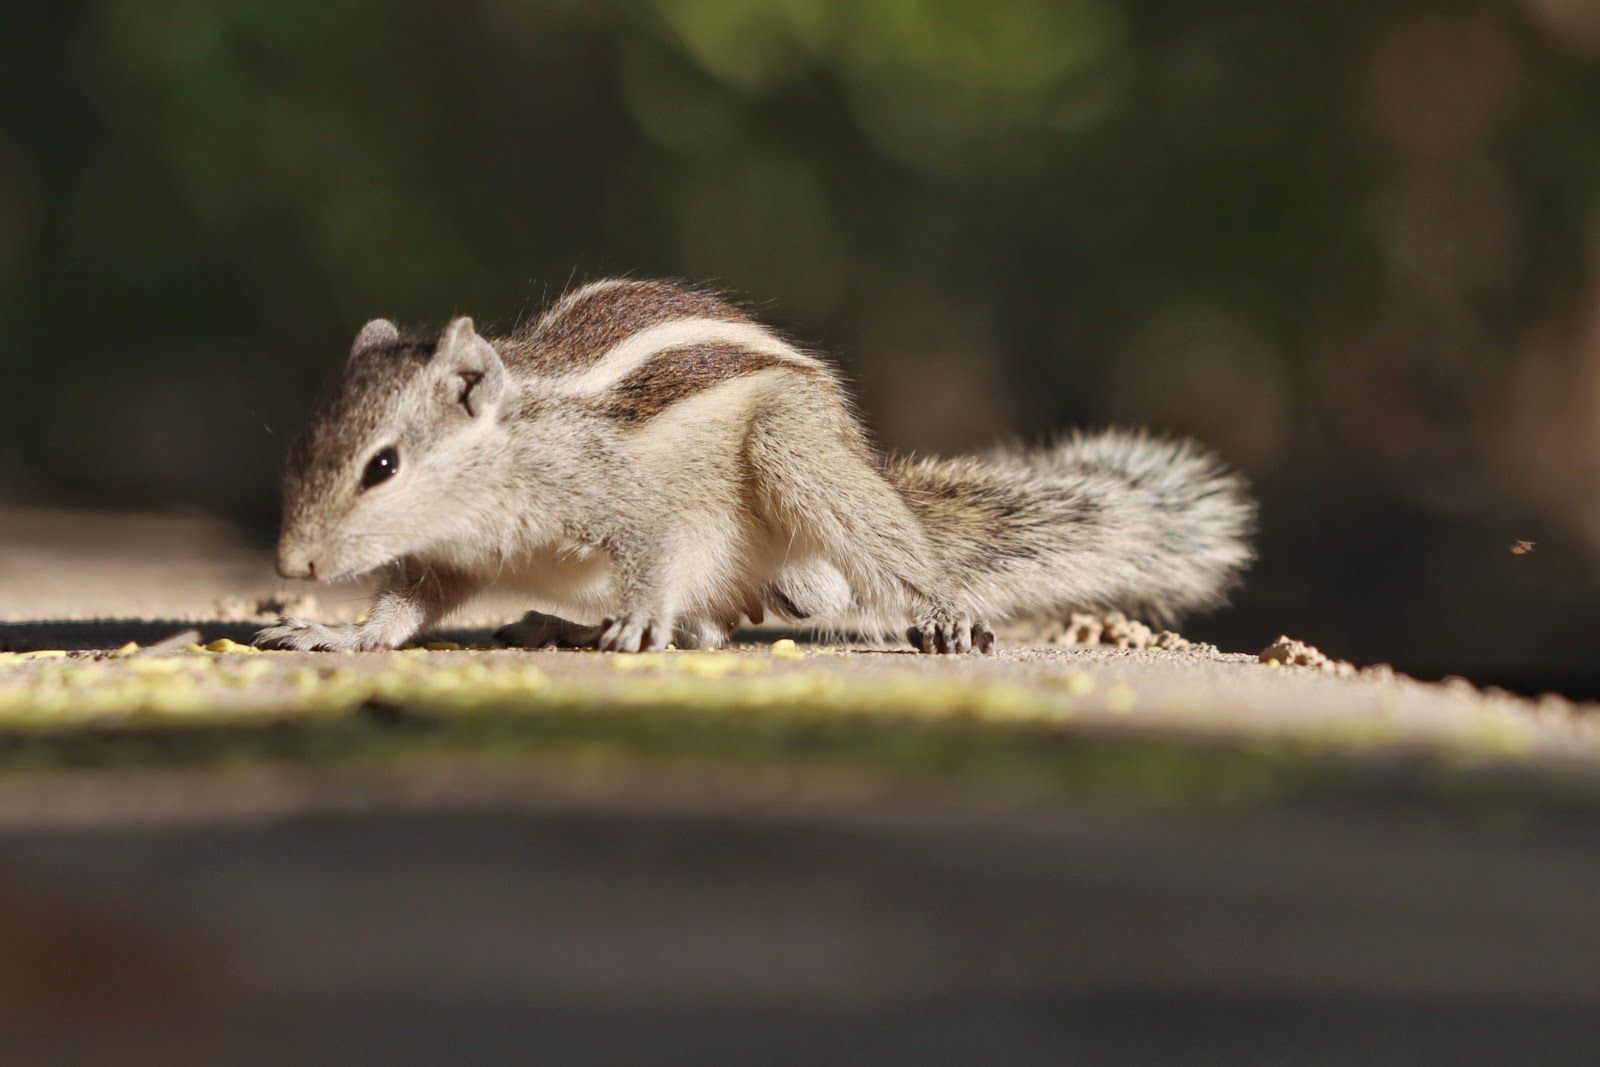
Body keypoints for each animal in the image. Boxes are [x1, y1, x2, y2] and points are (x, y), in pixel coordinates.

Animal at [255, 279, 1254, 655]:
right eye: (302, 446)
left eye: (383, 465)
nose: (293, 564)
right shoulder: (448, 559)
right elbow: (404, 605)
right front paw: (338, 636)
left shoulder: (611, 492)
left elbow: (652, 546)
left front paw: (638, 618)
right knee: (721, 620)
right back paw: (556, 621)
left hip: (795, 452)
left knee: (892, 558)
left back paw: (940, 612)